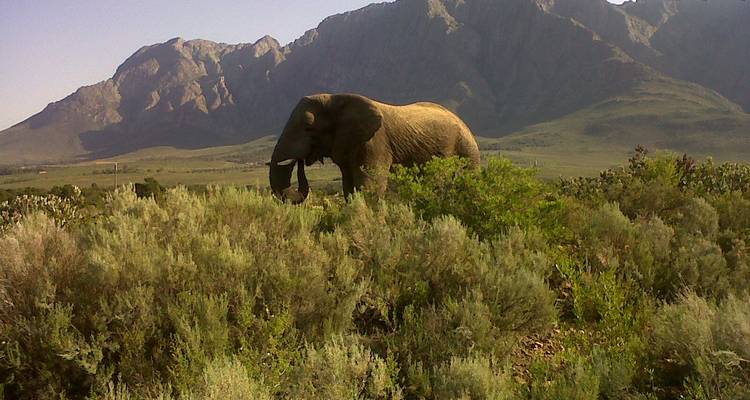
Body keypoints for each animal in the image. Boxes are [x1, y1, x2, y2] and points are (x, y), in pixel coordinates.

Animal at [269, 93, 481, 203]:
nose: (301, 161)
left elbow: (369, 185)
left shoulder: (375, 143)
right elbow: (349, 187)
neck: (335, 99)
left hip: (467, 151)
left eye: (308, 127)